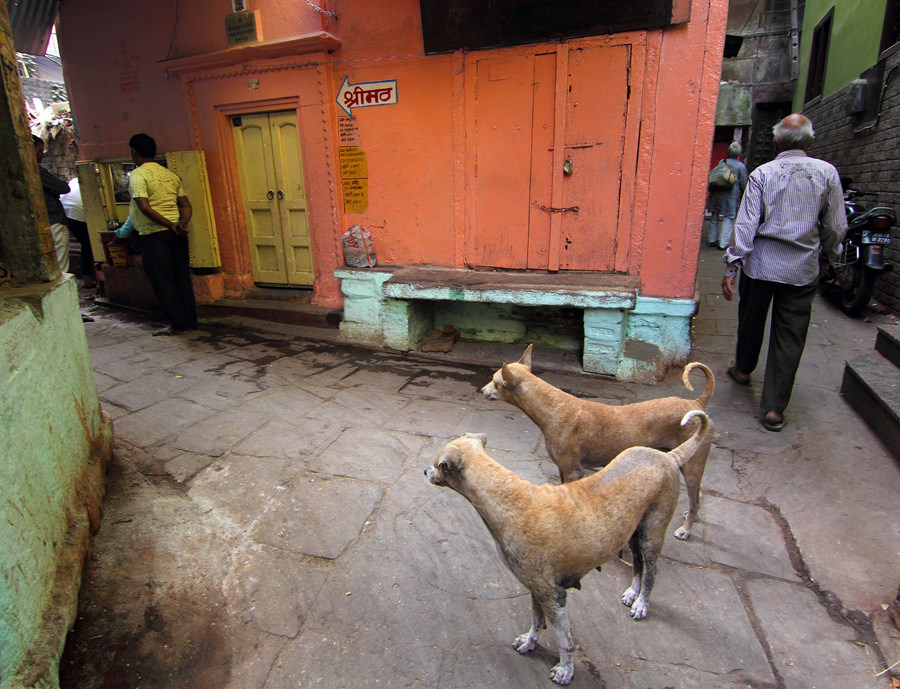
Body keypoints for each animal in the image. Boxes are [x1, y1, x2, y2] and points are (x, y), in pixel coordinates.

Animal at [426, 412, 712, 684]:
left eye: (438, 464)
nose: (425, 472)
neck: (508, 499)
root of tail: (669, 457)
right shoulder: (535, 588)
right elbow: (536, 620)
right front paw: (529, 643)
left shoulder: (553, 596)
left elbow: (564, 640)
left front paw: (565, 671)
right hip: (631, 533)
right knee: (638, 565)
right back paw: (632, 593)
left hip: (651, 533)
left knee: (651, 571)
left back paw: (641, 604)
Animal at [482, 346, 712, 540]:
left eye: (494, 381)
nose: (482, 391)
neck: (553, 406)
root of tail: (695, 402)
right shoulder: (563, 469)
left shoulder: (574, 470)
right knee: (698, 496)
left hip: (692, 466)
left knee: (695, 500)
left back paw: (686, 529)